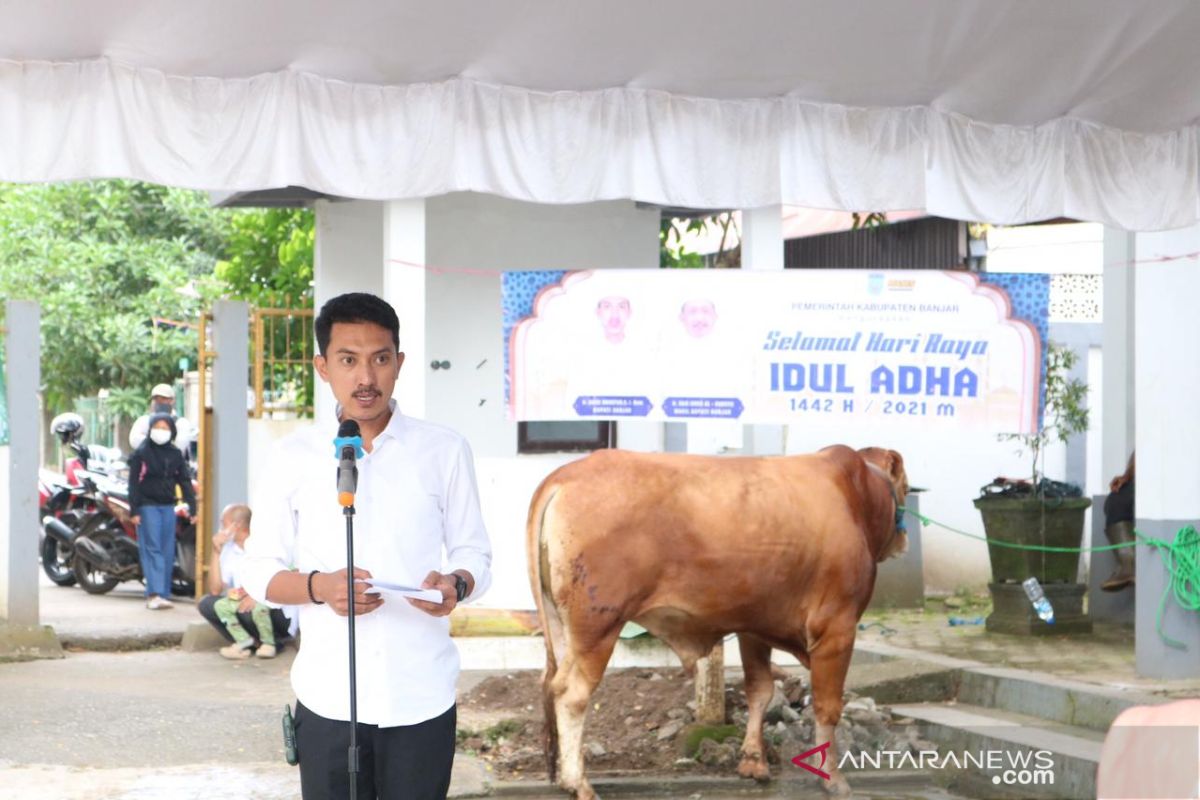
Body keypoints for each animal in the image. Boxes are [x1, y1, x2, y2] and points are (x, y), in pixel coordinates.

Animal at [525, 448, 907, 796]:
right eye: (904, 487)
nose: (903, 542)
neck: (855, 495)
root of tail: (563, 476)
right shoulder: (837, 627)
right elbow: (828, 706)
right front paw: (832, 778)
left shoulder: (755, 627)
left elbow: (760, 691)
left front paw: (753, 762)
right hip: (597, 628)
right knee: (571, 695)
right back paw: (579, 783)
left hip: (563, 628)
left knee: (552, 685)